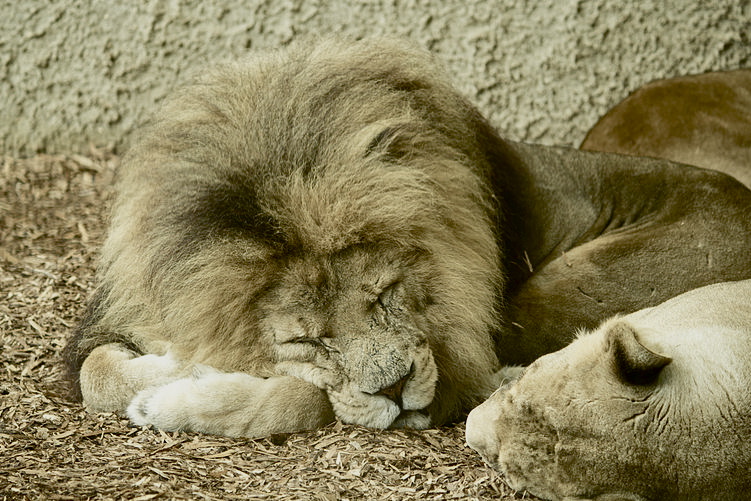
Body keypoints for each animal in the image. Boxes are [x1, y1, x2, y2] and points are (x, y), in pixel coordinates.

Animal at [64, 38, 751, 438]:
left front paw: (176, 393)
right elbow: (95, 374)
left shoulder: (456, 357)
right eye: (307, 338)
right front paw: (164, 365)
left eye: (387, 295)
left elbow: (308, 399)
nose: (395, 388)